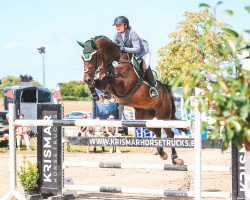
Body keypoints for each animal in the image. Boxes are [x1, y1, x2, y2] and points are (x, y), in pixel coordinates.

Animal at [77, 36, 184, 166]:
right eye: (82, 57)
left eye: (93, 56)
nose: (87, 78)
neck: (113, 63)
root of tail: (166, 89)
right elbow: (98, 82)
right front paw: (97, 95)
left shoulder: (123, 86)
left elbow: (107, 79)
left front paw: (105, 93)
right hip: (143, 117)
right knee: (157, 131)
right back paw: (162, 153)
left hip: (162, 115)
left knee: (170, 133)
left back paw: (175, 158)